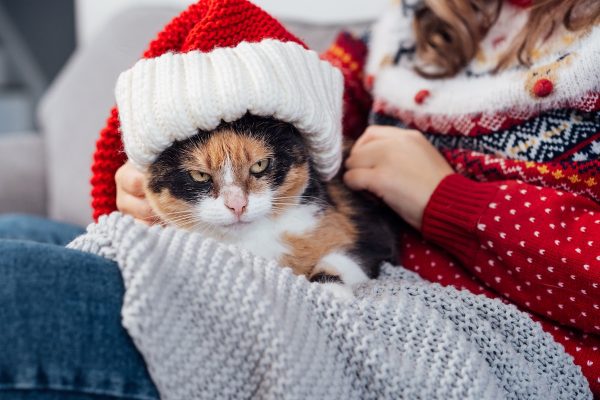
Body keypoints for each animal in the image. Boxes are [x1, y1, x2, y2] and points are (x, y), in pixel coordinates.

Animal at [144, 114, 398, 298]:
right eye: (199, 176)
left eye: (260, 165)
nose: (237, 204)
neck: (253, 240)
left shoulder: (368, 230)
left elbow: (346, 257)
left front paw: (331, 293)